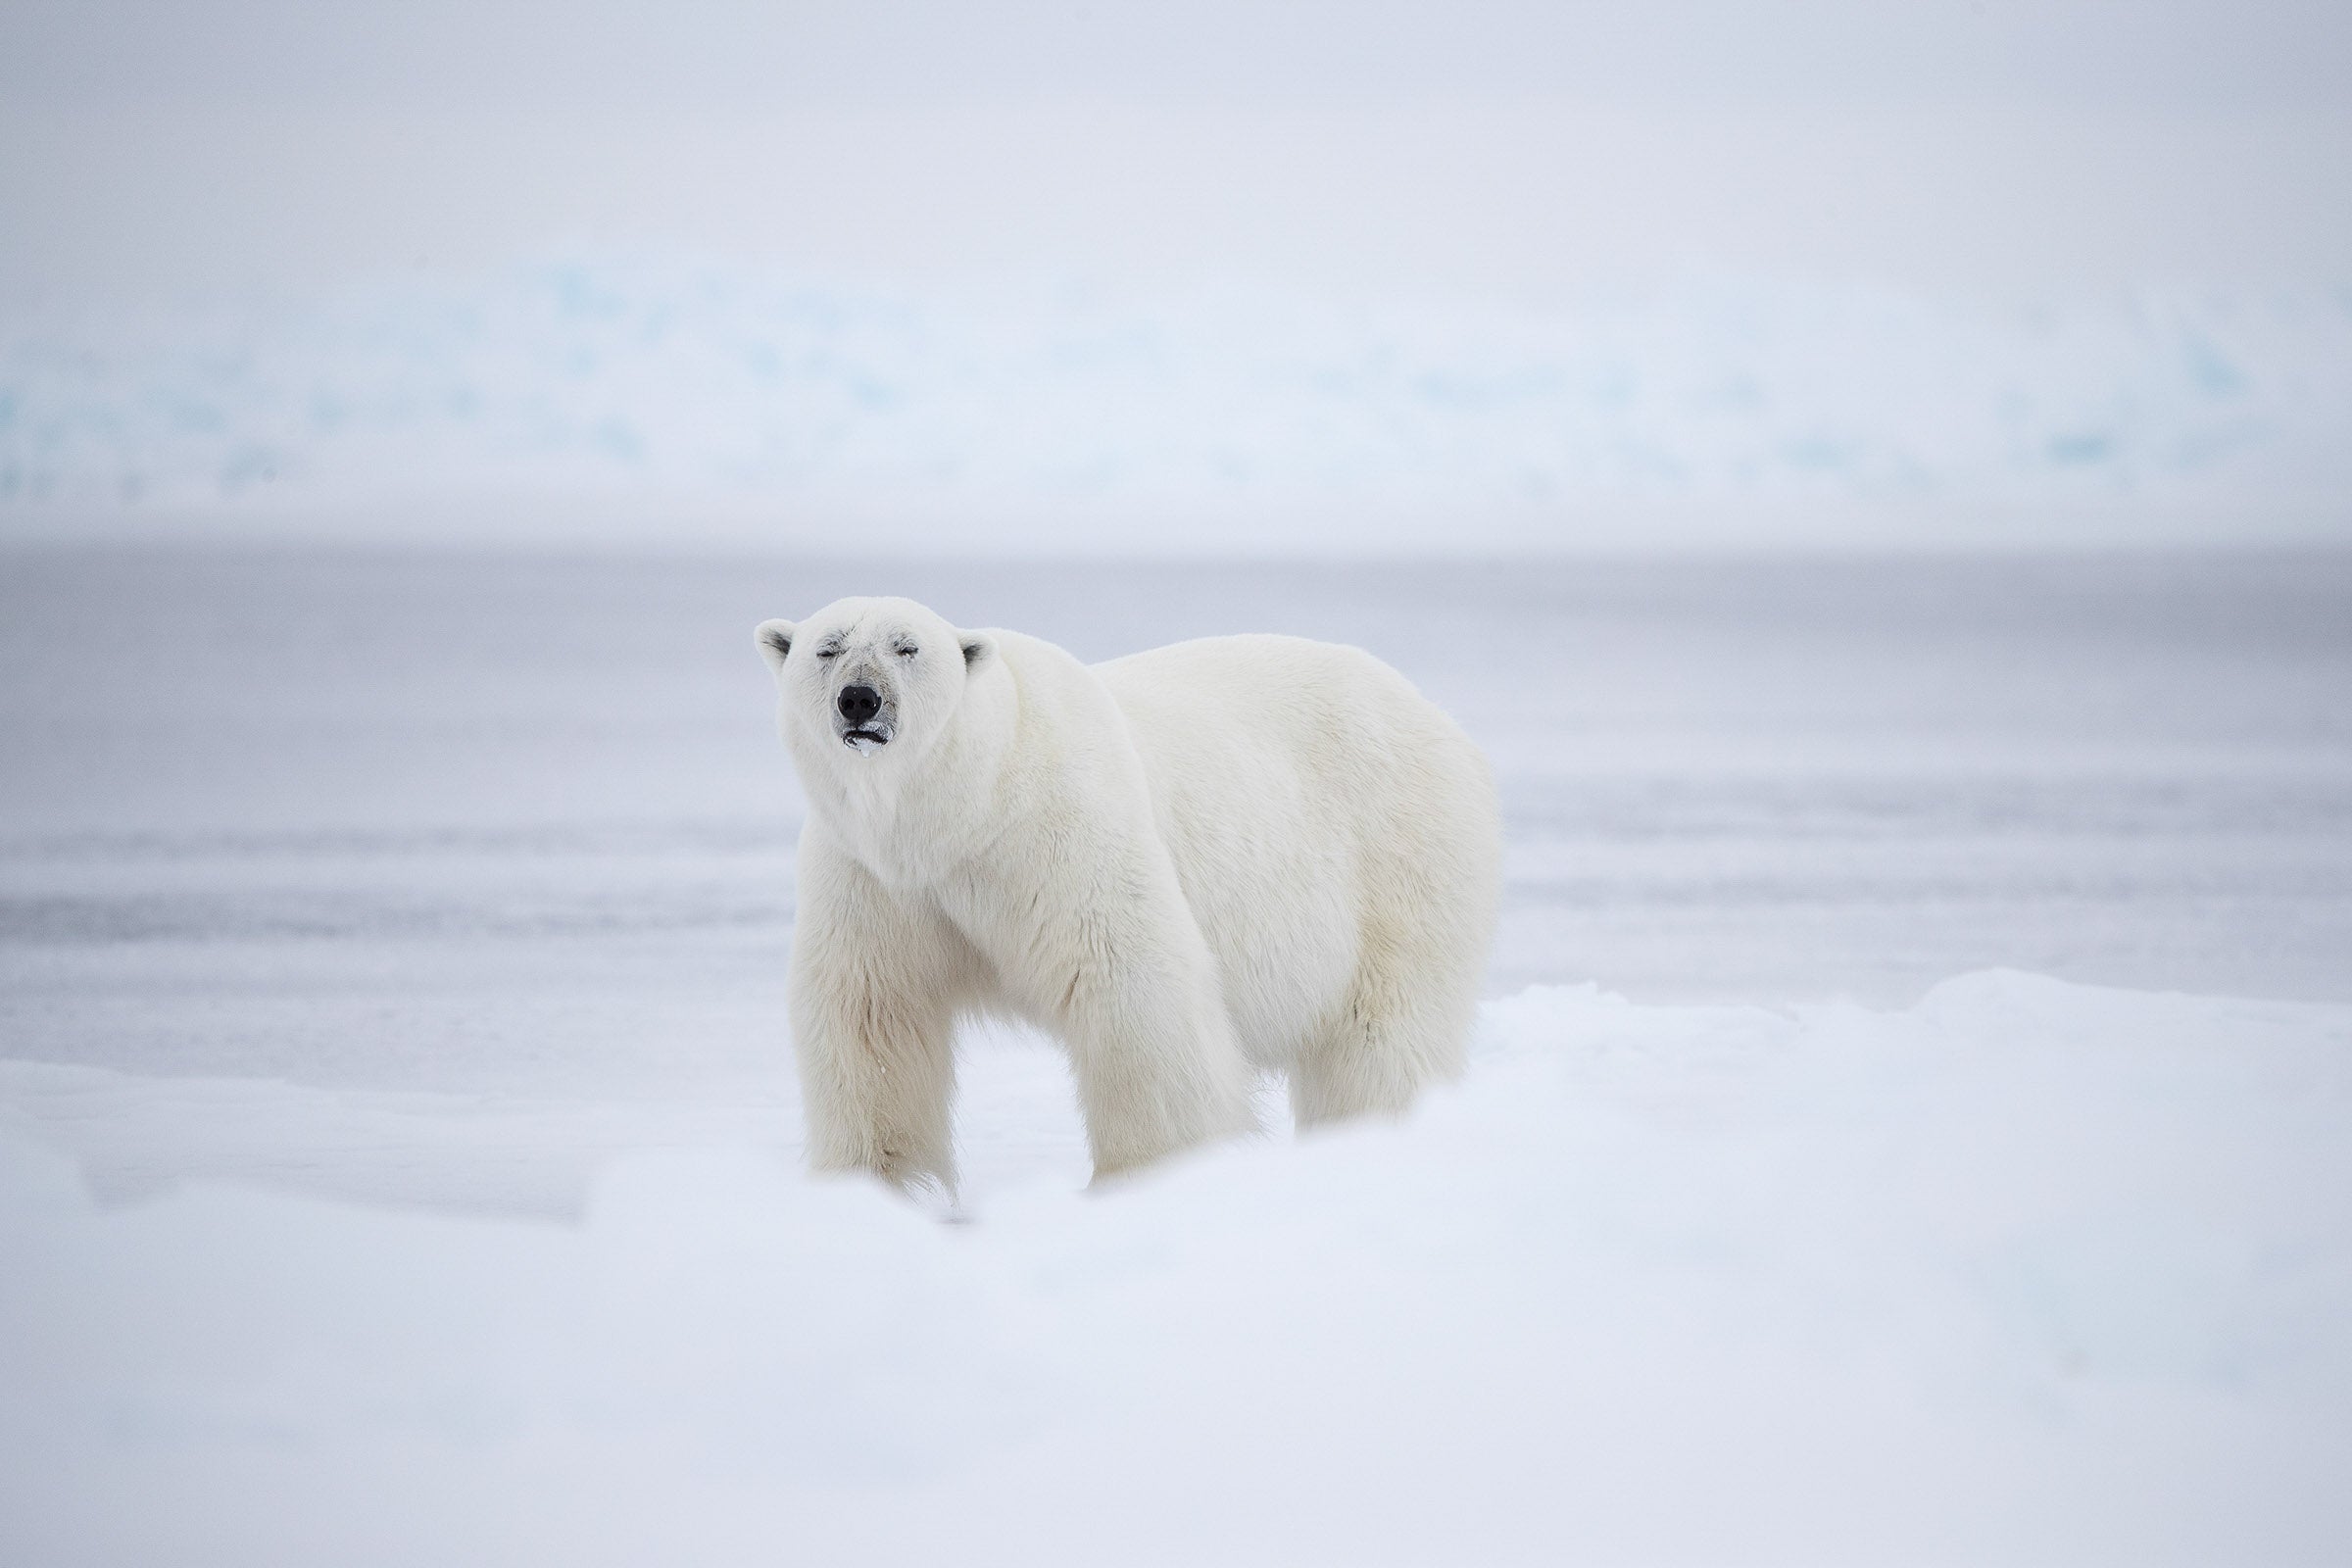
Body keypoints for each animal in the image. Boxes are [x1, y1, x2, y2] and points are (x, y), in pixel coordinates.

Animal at [755, 596, 1500, 1194]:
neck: (960, 814)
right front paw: (881, 1188)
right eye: (827, 648)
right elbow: (872, 1014)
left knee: (1383, 1034)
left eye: (908, 647)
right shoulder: (873, 875)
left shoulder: (1056, 832)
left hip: (1396, 858)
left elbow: (1129, 985)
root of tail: (1440, 720)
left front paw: (1143, 1178)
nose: (860, 699)